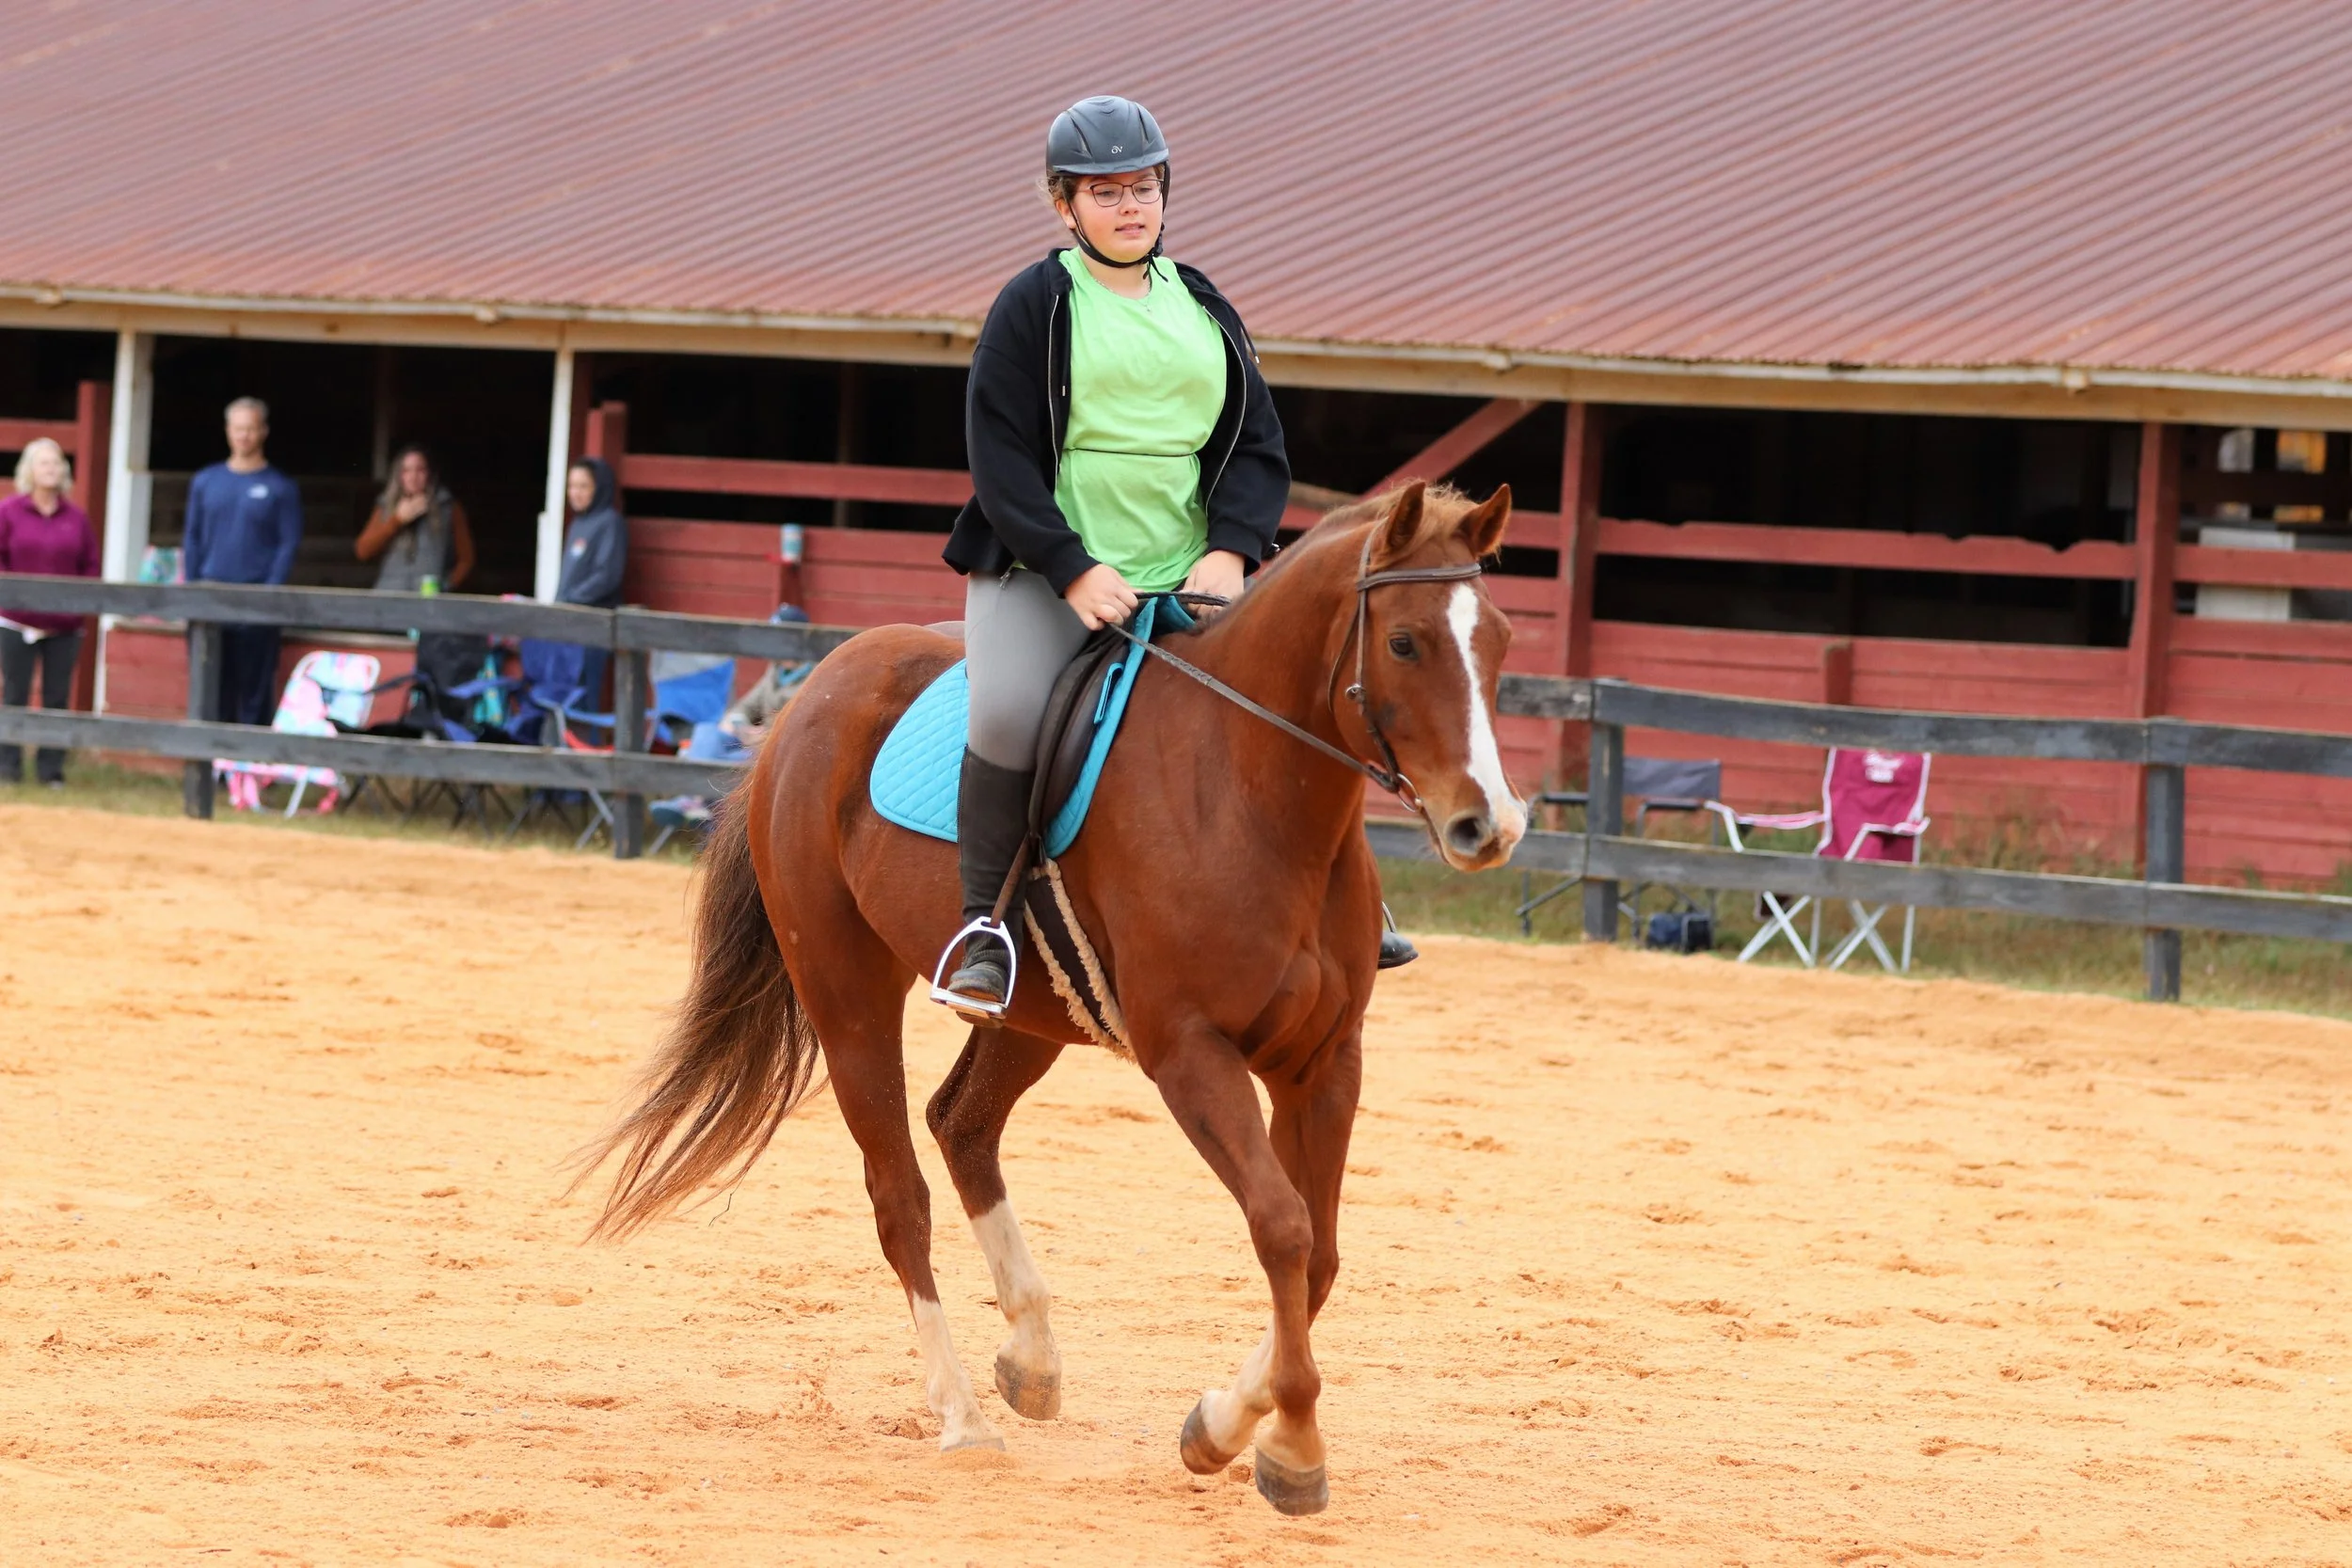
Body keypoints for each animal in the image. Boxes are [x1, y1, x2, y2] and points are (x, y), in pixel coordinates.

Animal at [575, 480, 1526, 1515]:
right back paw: (962, 1417)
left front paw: (1227, 1427)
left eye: (1501, 642)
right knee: (899, 1193)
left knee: (961, 1122)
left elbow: (1318, 1252)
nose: (1489, 824)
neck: (1251, 794)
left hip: (1037, 1012)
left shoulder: (1323, 1060)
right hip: (845, 987)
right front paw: (1288, 1445)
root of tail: (809, 695)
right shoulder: (1191, 1053)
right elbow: (1281, 1226)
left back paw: (1029, 1356)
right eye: (1405, 642)